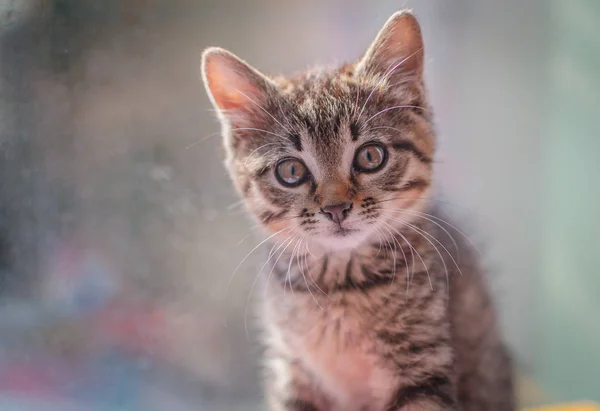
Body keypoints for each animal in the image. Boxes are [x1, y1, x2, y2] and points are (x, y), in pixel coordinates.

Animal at [202, 8, 516, 411]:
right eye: (291, 171)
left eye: (370, 156)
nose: (336, 208)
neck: (340, 286)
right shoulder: (293, 369)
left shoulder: (423, 365)